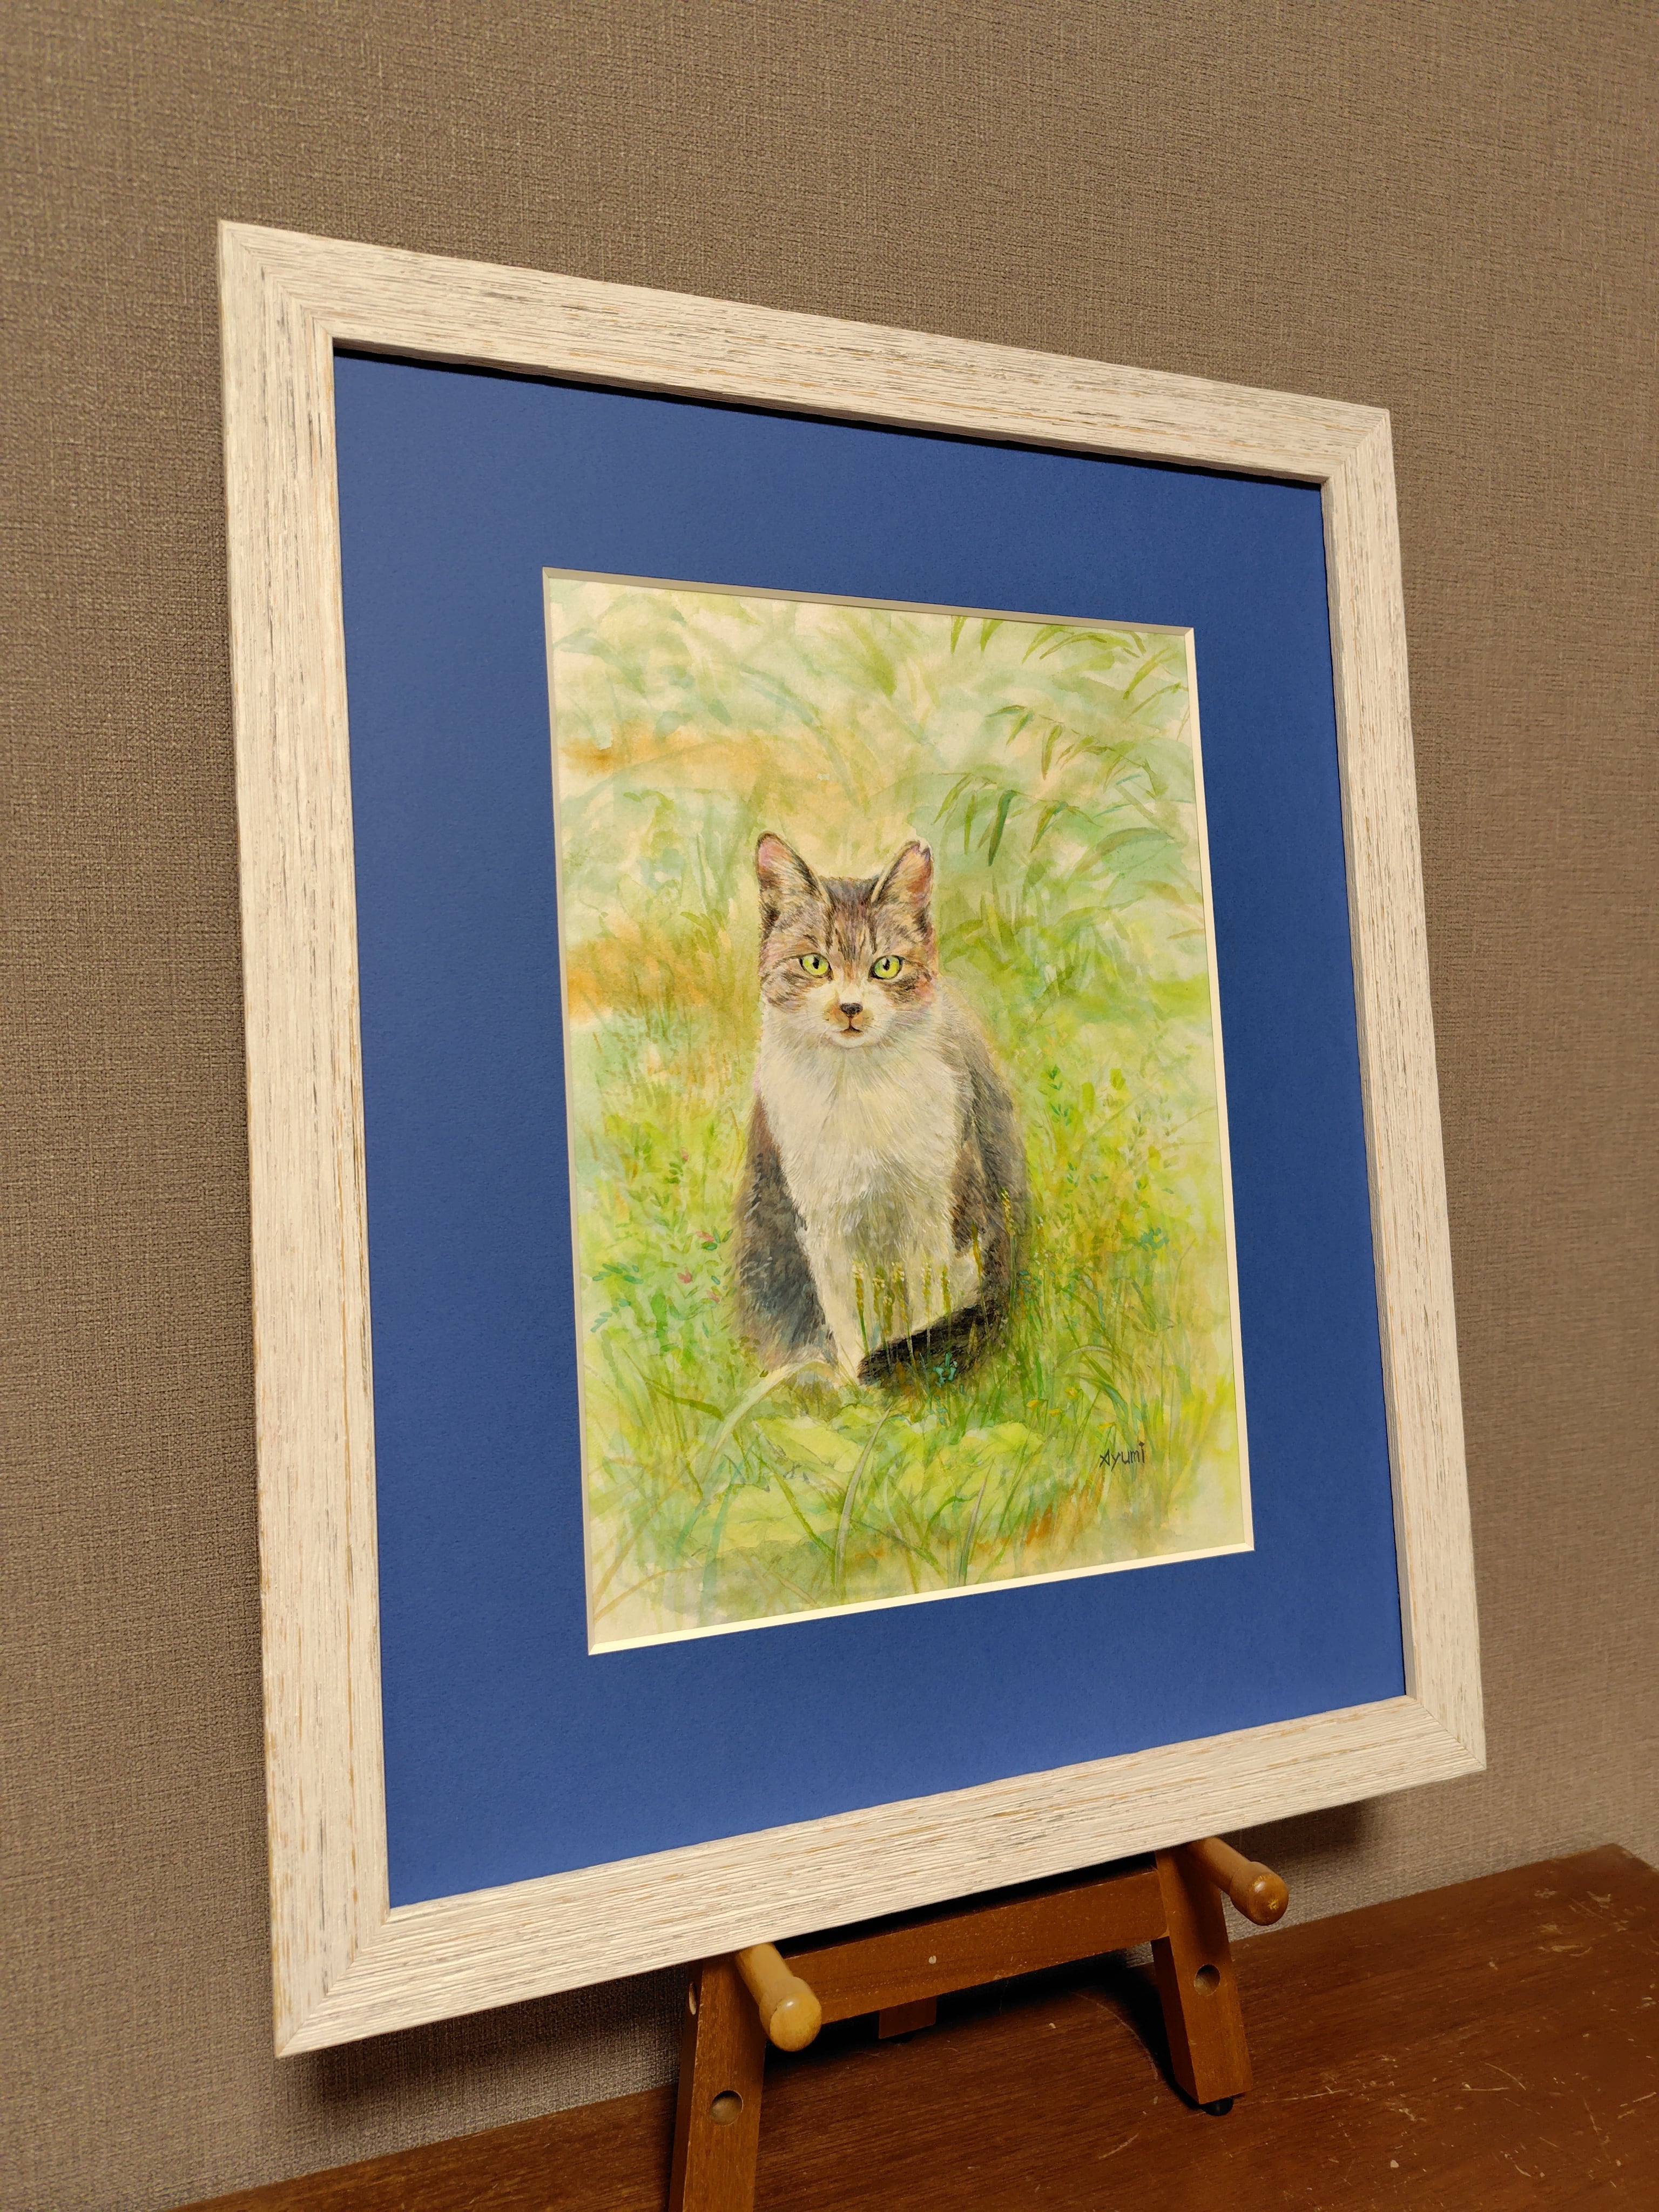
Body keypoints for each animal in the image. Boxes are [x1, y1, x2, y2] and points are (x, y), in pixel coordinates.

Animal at [733, 833, 1027, 1382]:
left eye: (886, 966)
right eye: (815, 963)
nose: (850, 1007)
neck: (858, 1089)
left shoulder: (934, 1214)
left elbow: (927, 1306)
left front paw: (903, 1378)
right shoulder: (823, 1226)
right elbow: (848, 1316)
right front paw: (855, 1384)